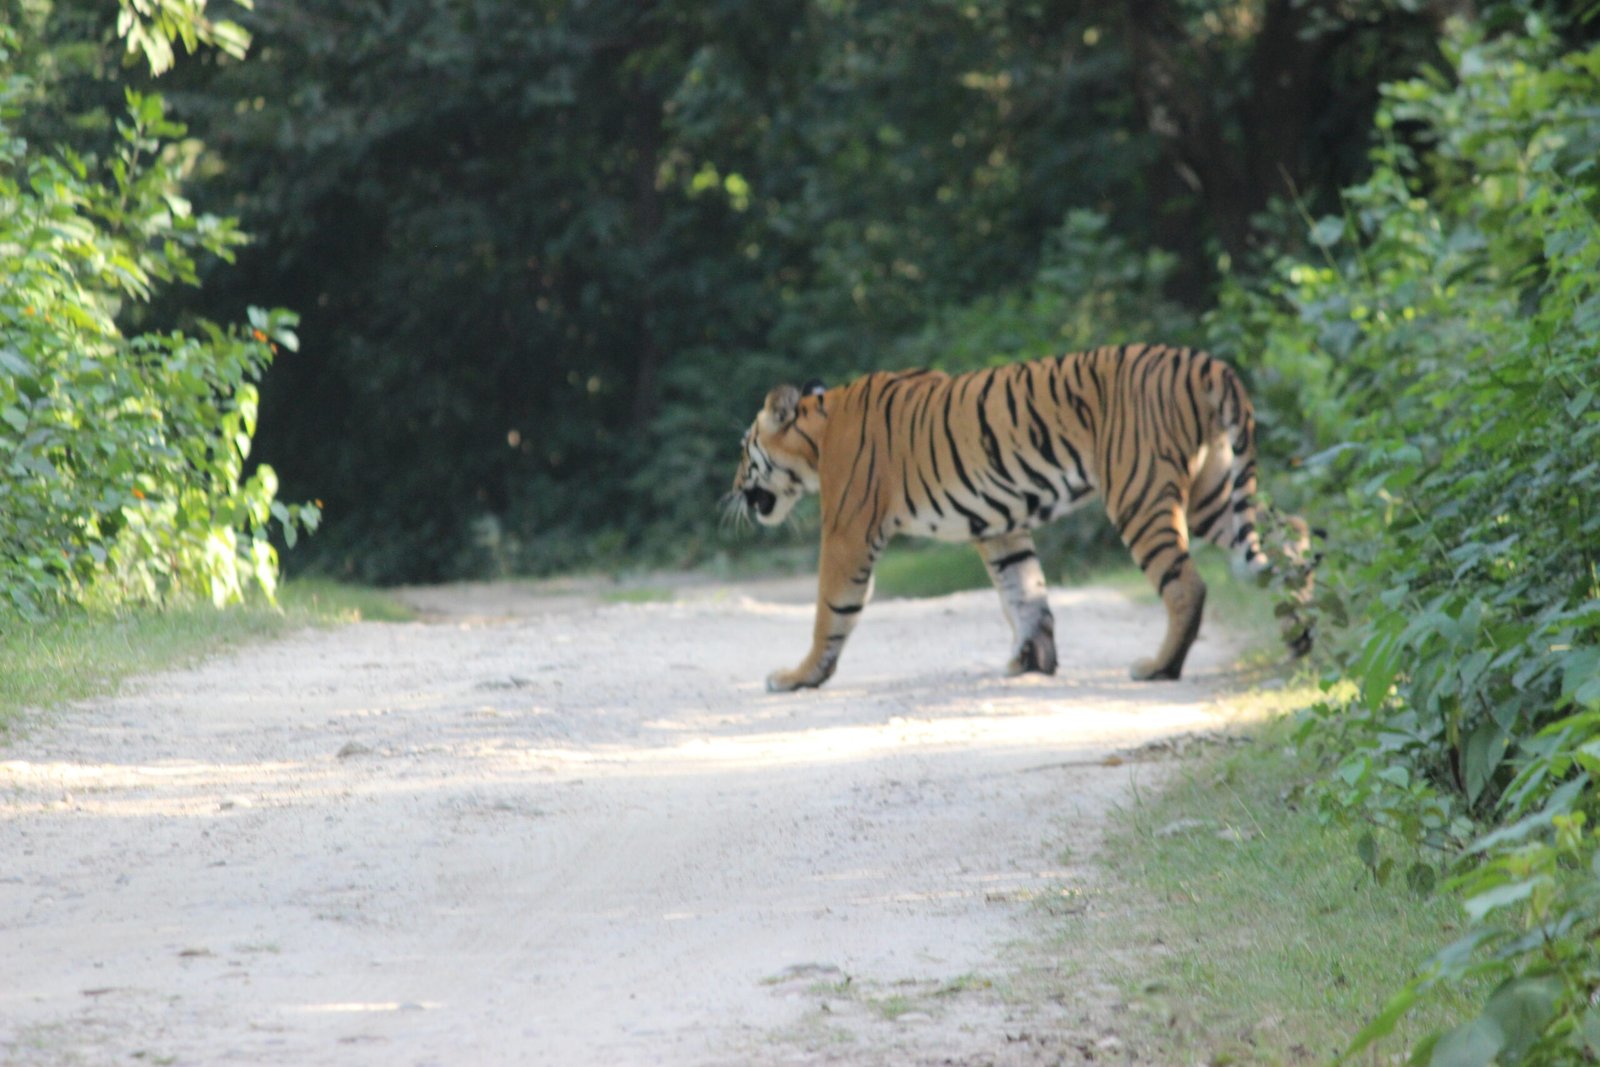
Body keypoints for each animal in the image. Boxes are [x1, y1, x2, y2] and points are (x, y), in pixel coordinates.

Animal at [727, 343, 1315, 692]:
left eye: (742, 449)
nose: (732, 490)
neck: (817, 435)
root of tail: (1204, 362)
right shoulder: (1000, 526)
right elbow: (1024, 593)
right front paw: (1032, 662)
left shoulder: (848, 530)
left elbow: (831, 609)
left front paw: (801, 675)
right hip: (1214, 491)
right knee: (1291, 540)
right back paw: (1301, 640)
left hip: (1140, 491)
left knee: (1187, 583)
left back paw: (1159, 667)